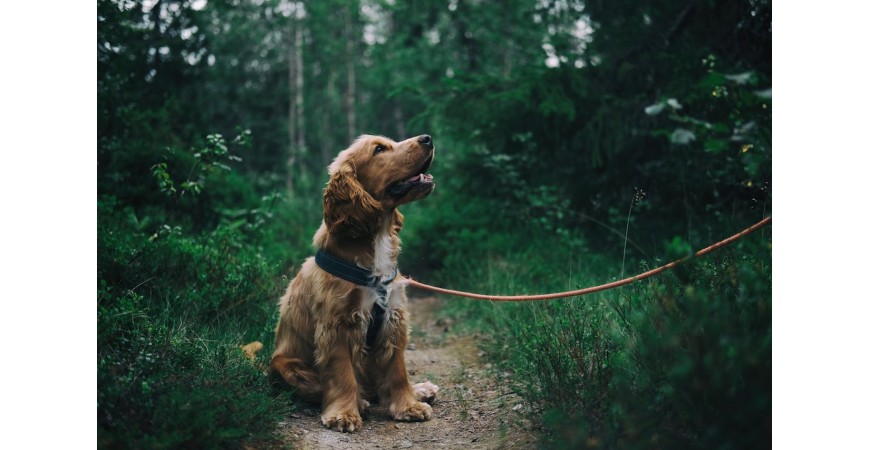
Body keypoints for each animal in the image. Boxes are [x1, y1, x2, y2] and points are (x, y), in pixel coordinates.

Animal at [270, 134, 440, 432]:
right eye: (379, 149)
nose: (427, 138)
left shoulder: (393, 317)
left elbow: (398, 371)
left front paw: (408, 405)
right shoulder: (337, 324)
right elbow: (342, 374)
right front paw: (344, 414)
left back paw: (420, 389)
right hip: (286, 365)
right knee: (319, 388)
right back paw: (360, 401)